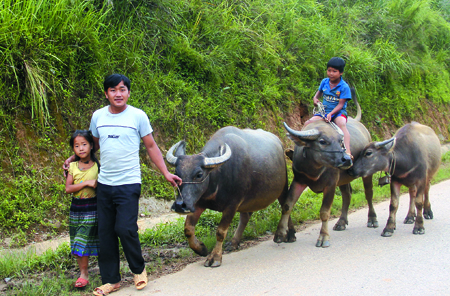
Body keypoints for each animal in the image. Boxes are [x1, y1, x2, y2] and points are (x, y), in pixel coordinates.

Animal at [165, 126, 288, 268]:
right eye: (176, 173)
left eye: (199, 174)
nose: (180, 205)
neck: (218, 177)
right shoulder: (198, 203)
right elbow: (188, 229)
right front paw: (201, 249)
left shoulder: (232, 205)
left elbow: (220, 232)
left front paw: (215, 257)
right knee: (245, 217)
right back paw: (234, 242)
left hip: (283, 188)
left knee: (286, 206)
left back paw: (286, 235)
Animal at [274, 95, 376, 247]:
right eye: (322, 141)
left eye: (340, 141)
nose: (347, 159)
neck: (314, 169)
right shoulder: (299, 181)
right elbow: (287, 205)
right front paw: (280, 234)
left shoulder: (330, 185)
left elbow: (324, 212)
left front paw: (323, 237)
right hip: (343, 178)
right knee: (347, 194)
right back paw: (341, 222)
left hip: (367, 173)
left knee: (369, 193)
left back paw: (372, 219)